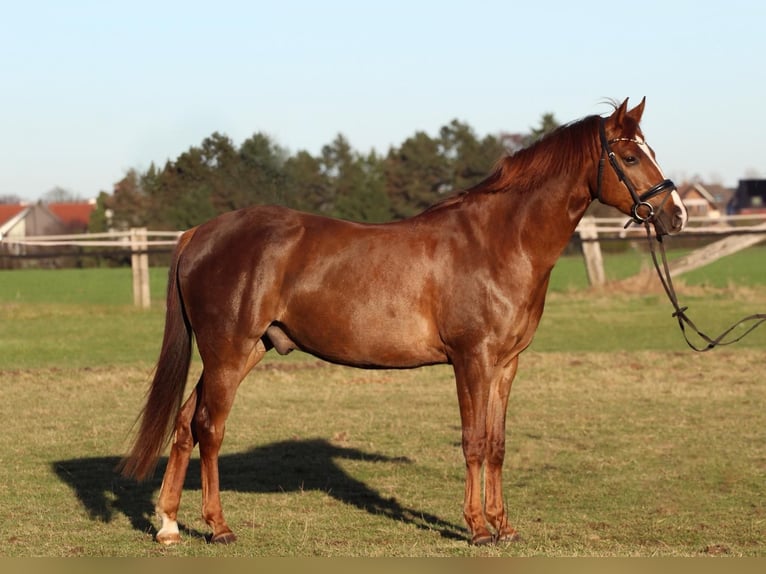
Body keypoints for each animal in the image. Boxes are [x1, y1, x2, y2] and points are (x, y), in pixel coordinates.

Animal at [120, 98, 688, 546]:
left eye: (652, 151)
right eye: (630, 156)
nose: (676, 214)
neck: (500, 241)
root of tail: (198, 233)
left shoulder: (506, 365)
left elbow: (498, 445)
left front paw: (504, 526)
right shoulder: (471, 360)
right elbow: (473, 441)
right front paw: (477, 529)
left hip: (242, 353)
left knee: (185, 424)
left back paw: (169, 525)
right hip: (227, 351)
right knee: (209, 429)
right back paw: (218, 527)